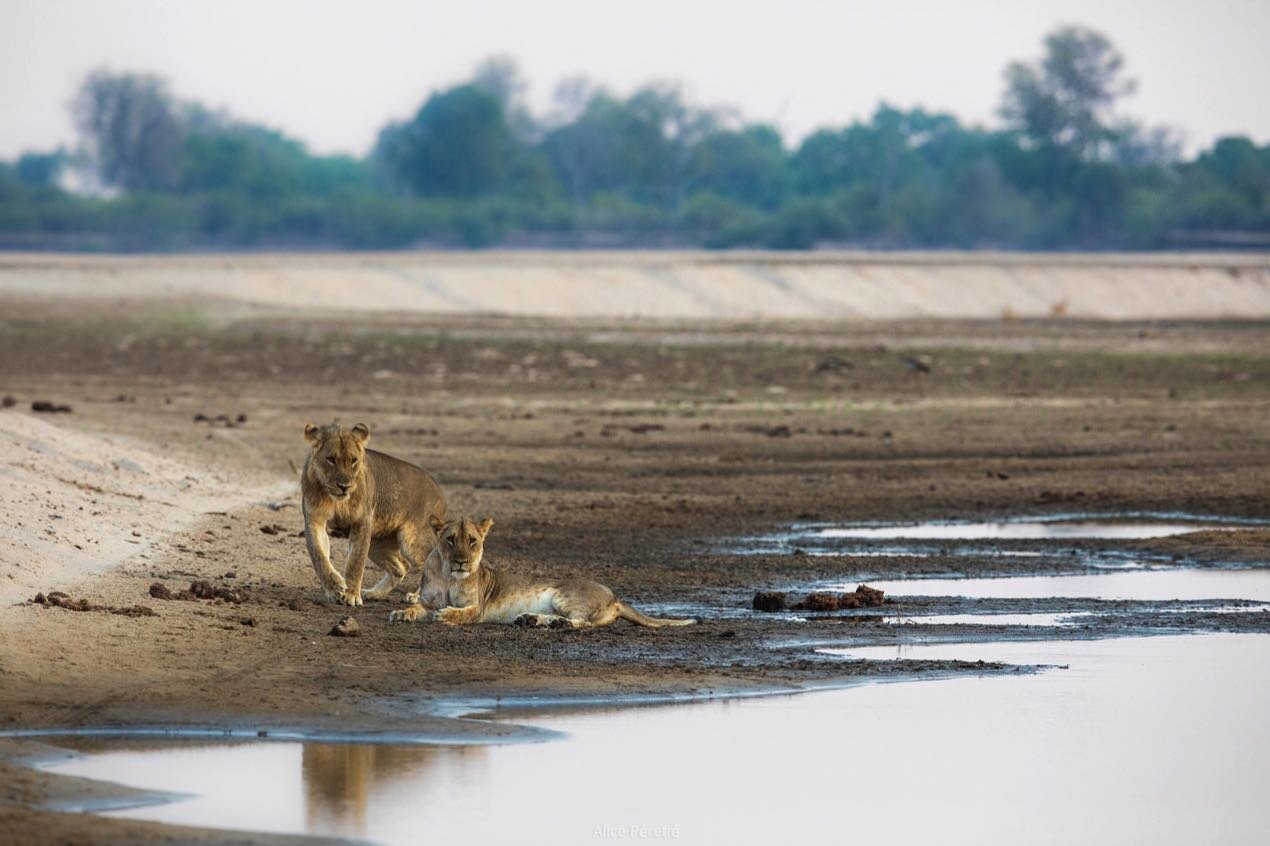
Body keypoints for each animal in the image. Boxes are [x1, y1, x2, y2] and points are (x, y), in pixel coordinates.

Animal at [302, 421, 447, 607]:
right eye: (331, 459)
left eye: (354, 460)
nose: (344, 486)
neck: (335, 499)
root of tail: (440, 491)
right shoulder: (314, 521)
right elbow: (319, 557)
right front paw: (335, 588)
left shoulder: (362, 522)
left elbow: (355, 562)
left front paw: (351, 595)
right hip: (378, 543)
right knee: (401, 567)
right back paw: (374, 593)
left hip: (412, 541)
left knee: (430, 563)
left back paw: (417, 597)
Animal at [391, 513, 701, 624]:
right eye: (450, 539)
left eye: (473, 541)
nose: (461, 561)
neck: (447, 576)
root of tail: (615, 596)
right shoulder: (428, 601)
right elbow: (417, 607)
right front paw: (401, 613)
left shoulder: (477, 607)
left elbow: (462, 612)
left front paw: (447, 615)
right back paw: (531, 620)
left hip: (563, 595)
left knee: (582, 623)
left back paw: (552, 622)